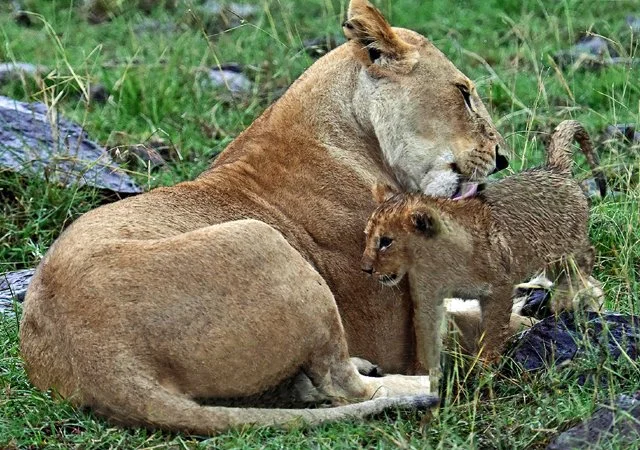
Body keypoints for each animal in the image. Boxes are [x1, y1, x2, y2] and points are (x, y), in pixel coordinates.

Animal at [20, 0, 508, 434]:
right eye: (464, 93)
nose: (502, 157)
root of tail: (100, 364)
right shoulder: (395, 326)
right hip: (264, 239)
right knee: (344, 386)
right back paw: (426, 383)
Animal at [362, 120, 605, 376]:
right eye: (367, 237)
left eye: (386, 241)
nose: (365, 269)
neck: (438, 262)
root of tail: (554, 169)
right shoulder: (429, 300)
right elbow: (426, 337)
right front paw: (423, 372)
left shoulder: (498, 289)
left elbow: (493, 330)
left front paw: (485, 368)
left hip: (567, 248)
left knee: (585, 262)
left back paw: (570, 299)